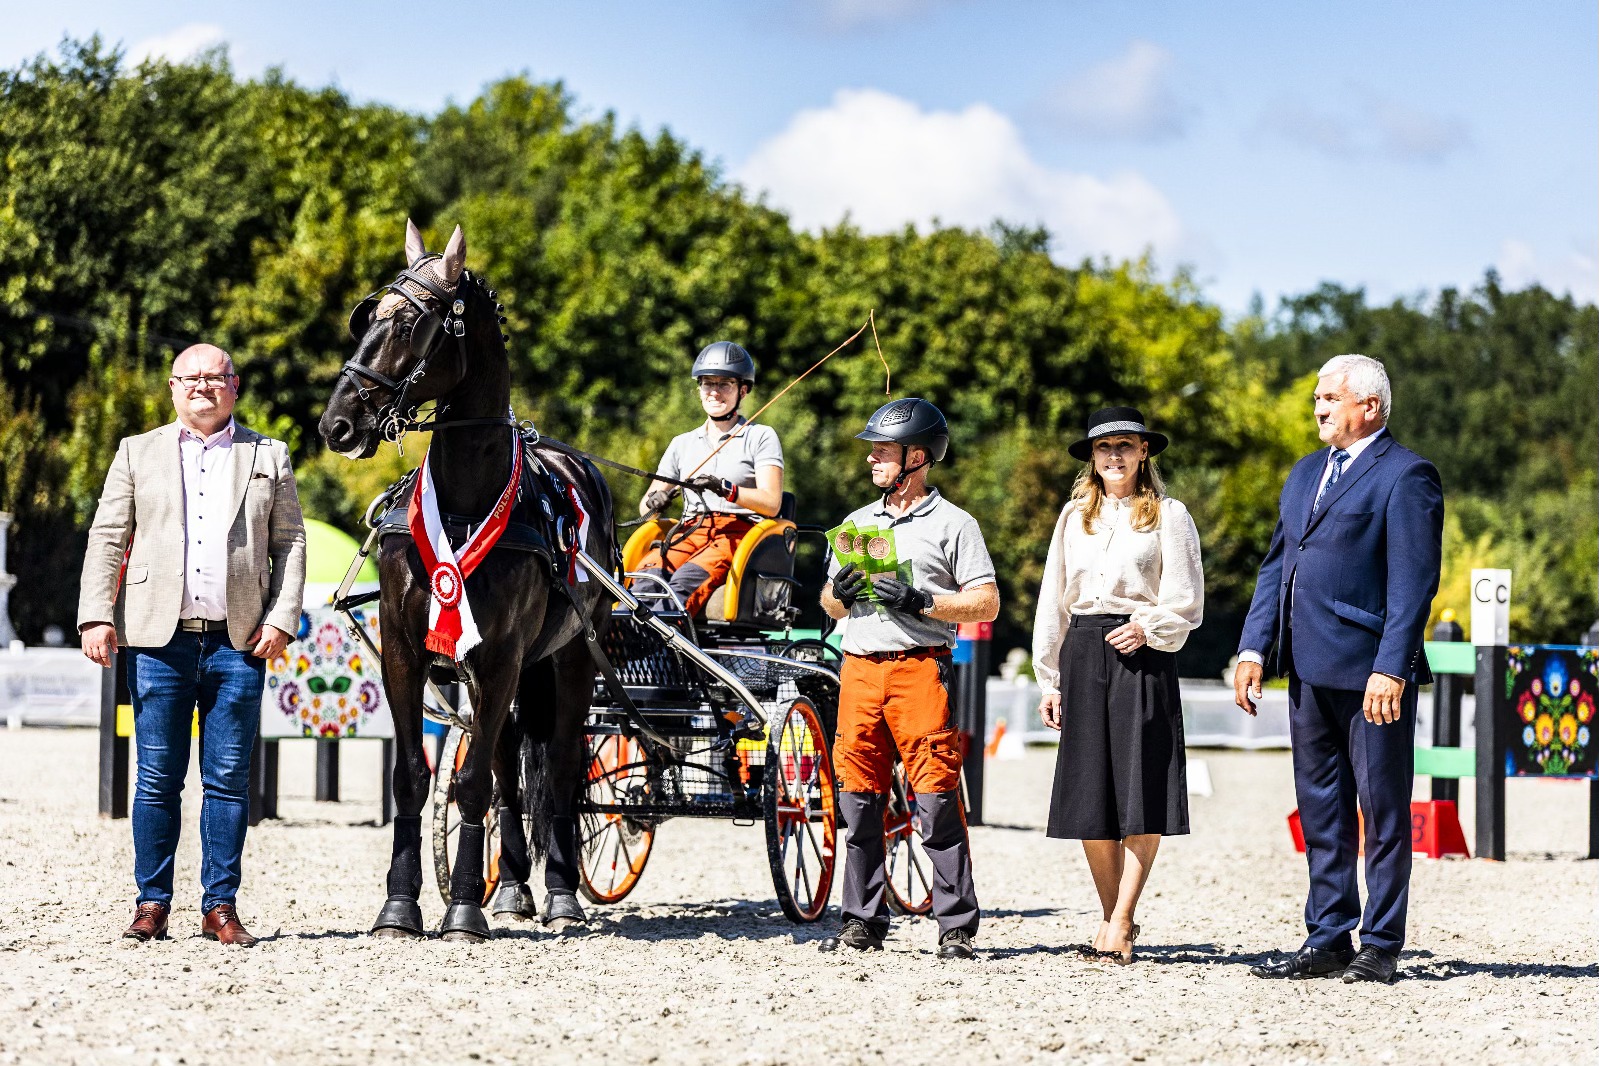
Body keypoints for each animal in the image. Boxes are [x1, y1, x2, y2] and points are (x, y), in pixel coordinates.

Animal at [319, 219, 615, 940]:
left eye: (407, 323)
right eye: (366, 317)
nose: (337, 423)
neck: (464, 502)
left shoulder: (502, 653)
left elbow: (472, 782)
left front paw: (460, 908)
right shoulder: (404, 650)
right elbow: (416, 778)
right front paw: (401, 904)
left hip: (568, 658)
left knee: (558, 768)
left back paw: (558, 893)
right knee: (511, 769)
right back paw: (509, 886)